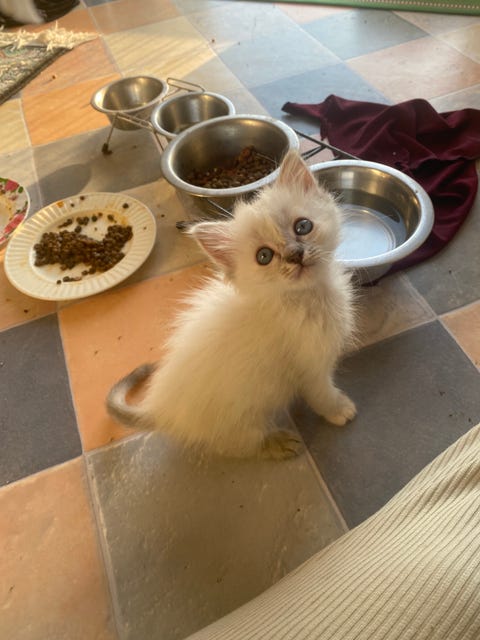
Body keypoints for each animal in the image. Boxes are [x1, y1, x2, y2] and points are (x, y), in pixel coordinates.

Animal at [106, 149, 356, 460]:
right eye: (264, 256)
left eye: (303, 226)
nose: (295, 254)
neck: (309, 298)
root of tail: (162, 409)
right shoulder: (311, 367)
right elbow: (322, 395)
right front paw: (339, 410)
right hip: (243, 415)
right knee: (239, 443)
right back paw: (278, 442)